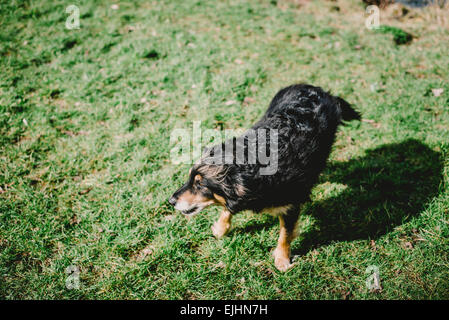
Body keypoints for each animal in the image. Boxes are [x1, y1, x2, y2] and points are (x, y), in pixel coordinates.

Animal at [168, 84, 360, 272]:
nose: (170, 201)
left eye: (200, 184)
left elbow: (285, 235)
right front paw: (221, 228)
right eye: (190, 179)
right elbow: (228, 207)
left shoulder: (290, 205)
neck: (254, 167)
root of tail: (317, 89)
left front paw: (282, 260)